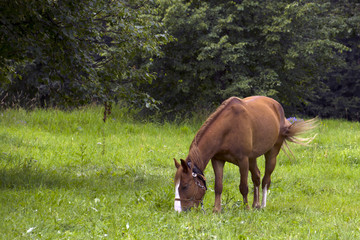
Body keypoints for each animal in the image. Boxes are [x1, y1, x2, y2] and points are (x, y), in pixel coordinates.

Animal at [174, 95, 318, 212]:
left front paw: (246, 208)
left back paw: (262, 205)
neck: (228, 128)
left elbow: (243, 187)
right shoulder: (218, 160)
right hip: (252, 158)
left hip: (271, 153)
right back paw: (256, 204)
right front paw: (217, 210)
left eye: (185, 186)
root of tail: (277, 107)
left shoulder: (243, 160)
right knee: (257, 176)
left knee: (266, 180)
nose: (178, 211)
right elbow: (218, 186)